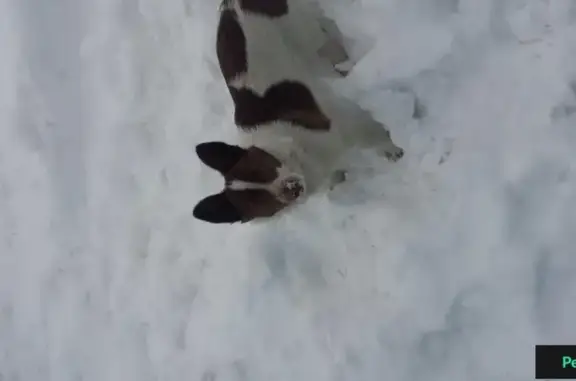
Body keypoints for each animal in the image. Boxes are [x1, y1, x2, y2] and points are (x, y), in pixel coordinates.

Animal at [191, 0, 402, 223]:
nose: (292, 187)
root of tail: (230, 5)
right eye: (260, 201)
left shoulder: (344, 123)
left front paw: (392, 150)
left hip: (304, 29)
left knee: (326, 34)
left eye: (263, 170)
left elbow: (374, 135)